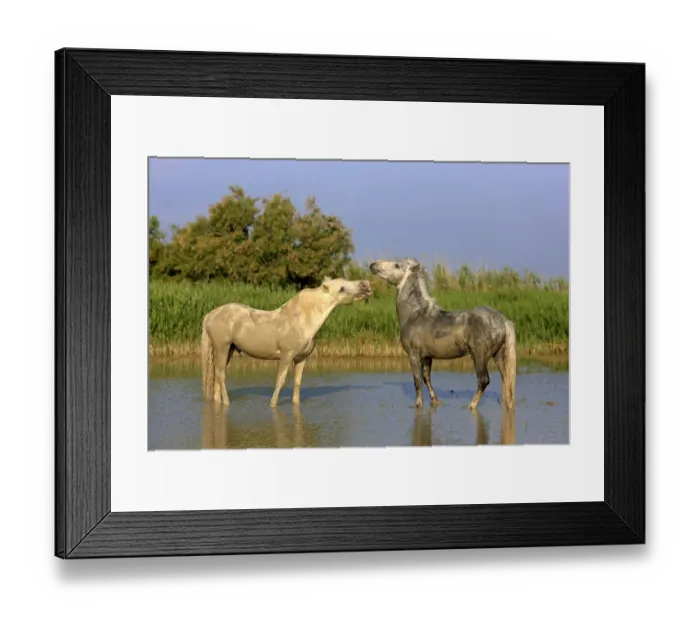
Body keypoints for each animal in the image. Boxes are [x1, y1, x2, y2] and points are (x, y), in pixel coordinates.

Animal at [201, 276, 373, 406]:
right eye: (342, 288)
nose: (366, 284)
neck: (302, 320)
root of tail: (210, 315)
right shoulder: (286, 356)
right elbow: (280, 381)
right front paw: (272, 404)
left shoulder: (301, 359)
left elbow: (297, 382)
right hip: (221, 348)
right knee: (221, 375)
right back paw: (227, 402)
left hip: (229, 349)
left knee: (217, 378)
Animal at [368, 258, 517, 415]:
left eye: (397, 265)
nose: (373, 265)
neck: (415, 315)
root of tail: (503, 321)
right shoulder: (427, 357)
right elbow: (426, 378)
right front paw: (436, 401)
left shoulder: (413, 355)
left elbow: (417, 381)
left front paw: (418, 405)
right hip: (499, 355)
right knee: (506, 380)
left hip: (480, 357)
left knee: (483, 381)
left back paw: (471, 406)